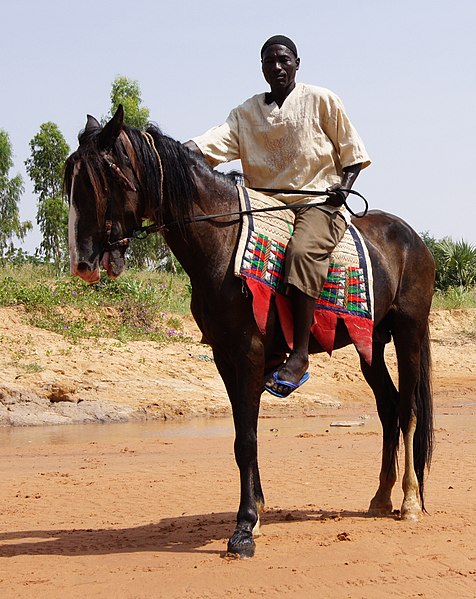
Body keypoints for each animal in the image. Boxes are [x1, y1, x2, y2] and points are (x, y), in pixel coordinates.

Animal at [66, 106, 436, 556]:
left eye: (103, 178)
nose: (82, 263)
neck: (223, 242)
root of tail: (414, 239)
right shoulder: (225, 356)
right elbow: (244, 435)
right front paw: (255, 513)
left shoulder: (249, 351)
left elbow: (246, 439)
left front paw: (243, 528)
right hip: (371, 344)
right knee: (388, 408)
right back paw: (381, 497)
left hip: (409, 332)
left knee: (408, 409)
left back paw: (410, 501)